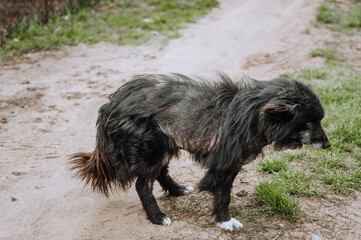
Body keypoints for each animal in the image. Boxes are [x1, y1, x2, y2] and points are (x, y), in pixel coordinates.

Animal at [69, 73, 330, 231]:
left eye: (319, 120)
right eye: (308, 123)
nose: (328, 145)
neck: (253, 115)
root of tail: (111, 104)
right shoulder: (224, 165)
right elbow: (223, 194)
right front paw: (225, 221)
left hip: (166, 143)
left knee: (161, 171)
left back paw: (177, 189)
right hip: (152, 147)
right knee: (143, 186)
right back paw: (158, 217)